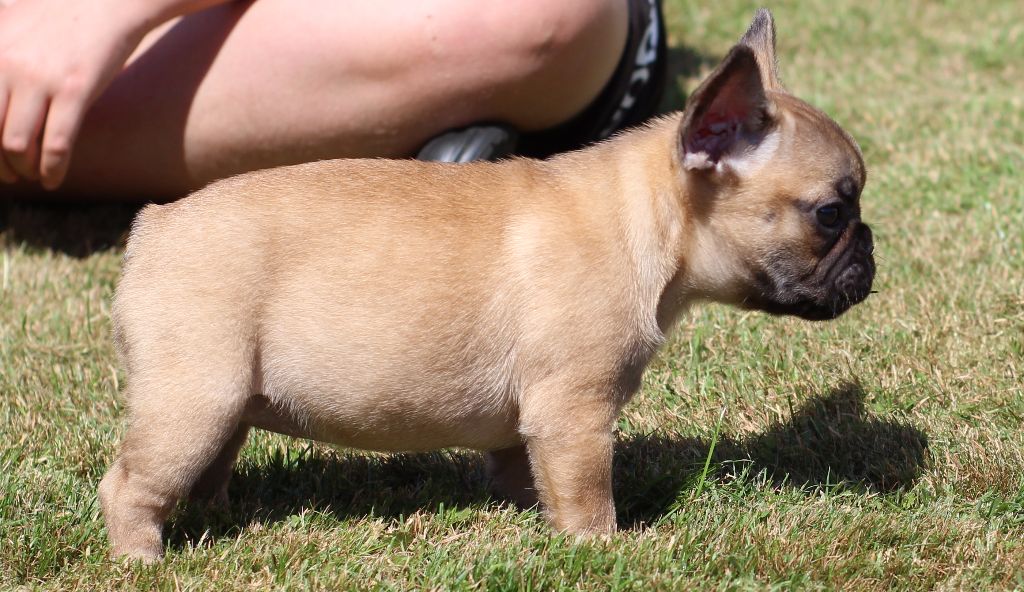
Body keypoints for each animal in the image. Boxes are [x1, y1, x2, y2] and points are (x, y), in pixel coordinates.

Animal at [99, 9, 873, 561]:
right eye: (830, 214)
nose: (871, 251)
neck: (648, 221)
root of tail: (155, 226)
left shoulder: (532, 423)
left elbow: (520, 467)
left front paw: (527, 512)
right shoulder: (574, 414)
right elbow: (586, 488)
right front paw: (602, 547)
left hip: (224, 403)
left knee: (210, 468)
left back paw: (220, 518)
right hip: (194, 399)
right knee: (133, 481)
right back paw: (141, 555)